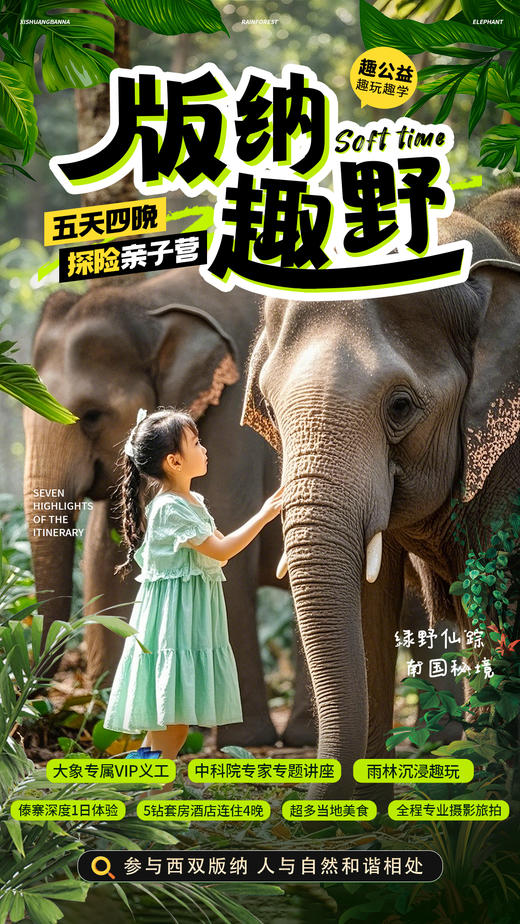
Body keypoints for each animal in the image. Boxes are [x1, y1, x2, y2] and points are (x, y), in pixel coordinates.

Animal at [23, 266, 315, 748]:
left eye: (92, 415)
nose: (37, 719)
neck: (147, 303)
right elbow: (105, 558)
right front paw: (112, 729)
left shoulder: (232, 422)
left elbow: (226, 549)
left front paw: (243, 739)